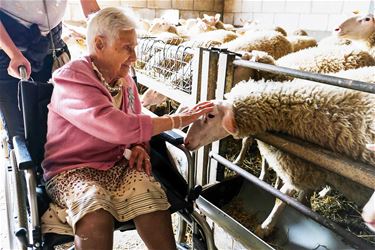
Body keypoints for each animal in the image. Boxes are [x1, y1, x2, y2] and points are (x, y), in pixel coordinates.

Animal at [185, 73, 375, 237]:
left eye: (210, 115)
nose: (186, 141)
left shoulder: (302, 169)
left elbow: (281, 200)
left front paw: (264, 228)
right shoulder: (311, 168)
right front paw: (305, 205)